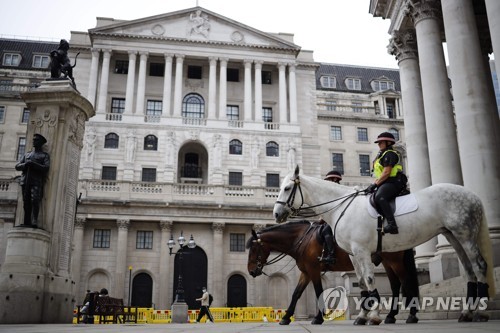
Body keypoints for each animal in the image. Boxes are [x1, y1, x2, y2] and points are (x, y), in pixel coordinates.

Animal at [246, 220, 418, 324]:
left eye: (253, 249)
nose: (251, 271)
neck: (302, 239)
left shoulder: (314, 270)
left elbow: (318, 292)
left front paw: (318, 318)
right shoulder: (305, 272)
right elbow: (296, 293)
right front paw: (286, 318)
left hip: (394, 261)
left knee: (406, 282)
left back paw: (411, 314)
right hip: (387, 262)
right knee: (395, 285)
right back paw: (390, 316)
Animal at [274, 165, 496, 322]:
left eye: (287, 188)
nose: (276, 214)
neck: (342, 207)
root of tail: (472, 195)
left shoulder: (361, 251)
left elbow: (369, 279)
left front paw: (372, 316)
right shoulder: (354, 254)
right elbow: (361, 281)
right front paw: (363, 316)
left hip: (465, 235)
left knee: (478, 266)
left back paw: (481, 312)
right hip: (452, 236)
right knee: (468, 270)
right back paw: (466, 312)